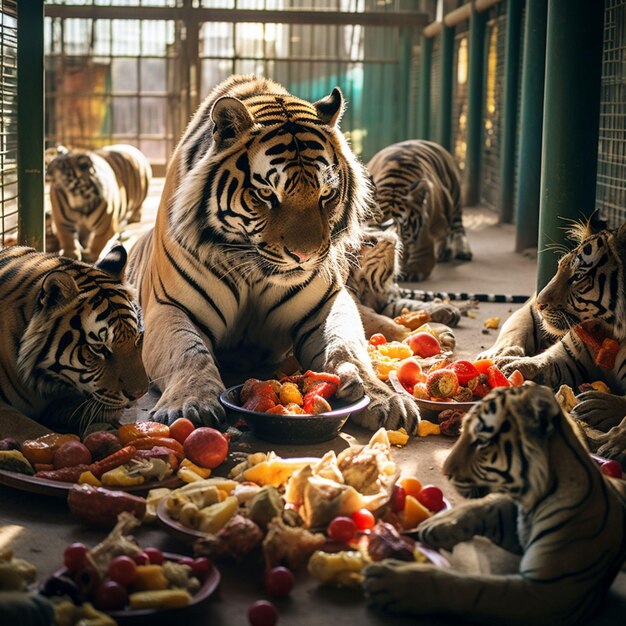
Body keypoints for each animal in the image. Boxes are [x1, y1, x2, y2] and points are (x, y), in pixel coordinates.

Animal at [125, 74, 420, 434]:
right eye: (266, 194)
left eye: (326, 194)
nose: (304, 256)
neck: (252, 269)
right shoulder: (171, 307)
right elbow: (188, 352)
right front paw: (190, 402)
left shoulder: (327, 303)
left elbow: (347, 347)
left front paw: (382, 395)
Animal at [360, 382, 624, 620]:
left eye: (482, 441)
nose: (445, 471)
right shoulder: (513, 521)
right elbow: (484, 508)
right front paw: (441, 524)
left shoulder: (548, 591)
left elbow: (471, 587)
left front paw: (399, 582)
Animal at [364, 140, 470, 282]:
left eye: (405, 227)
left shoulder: (422, 231)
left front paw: (413, 270)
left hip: (453, 197)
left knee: (456, 227)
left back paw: (461, 251)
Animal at [478, 213, 624, 464]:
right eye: (559, 268)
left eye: (577, 277)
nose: (540, 303)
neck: (611, 329)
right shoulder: (570, 359)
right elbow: (541, 362)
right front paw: (508, 366)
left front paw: (609, 430)